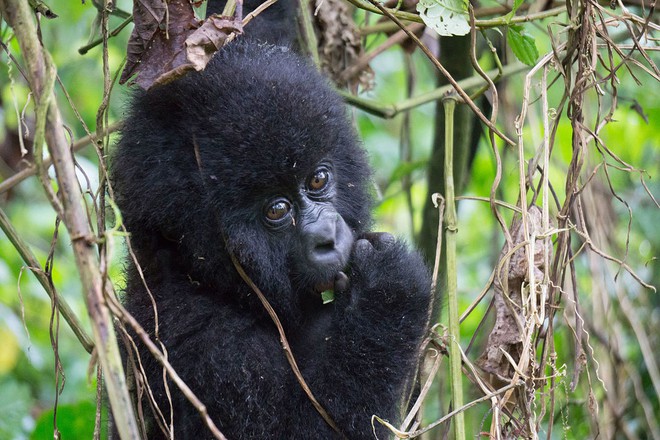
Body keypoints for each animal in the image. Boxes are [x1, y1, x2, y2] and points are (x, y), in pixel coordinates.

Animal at [112, 5, 434, 438]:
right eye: (277, 210)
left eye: (317, 180)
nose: (327, 238)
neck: (193, 270)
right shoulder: (199, 340)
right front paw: (390, 290)